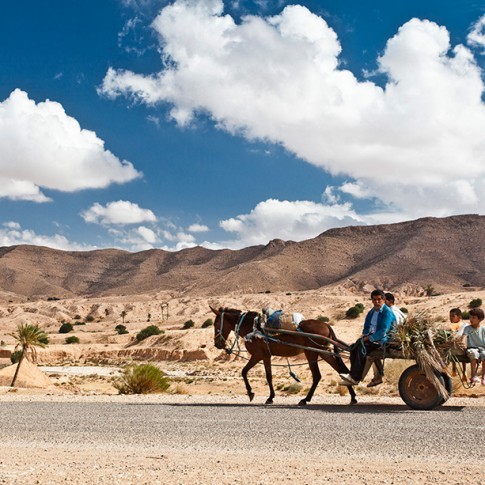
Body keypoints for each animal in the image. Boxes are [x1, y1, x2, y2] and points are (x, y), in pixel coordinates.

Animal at [211, 306, 356, 404]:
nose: (217, 344)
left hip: (312, 353)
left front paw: (253, 393)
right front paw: (268, 396)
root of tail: (326, 324)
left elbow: (246, 372)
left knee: (317, 376)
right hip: (324, 352)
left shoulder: (258, 355)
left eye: (215, 324)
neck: (253, 327)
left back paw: (305, 399)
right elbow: (265, 376)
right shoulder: (265, 356)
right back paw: (353, 397)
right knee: (341, 370)